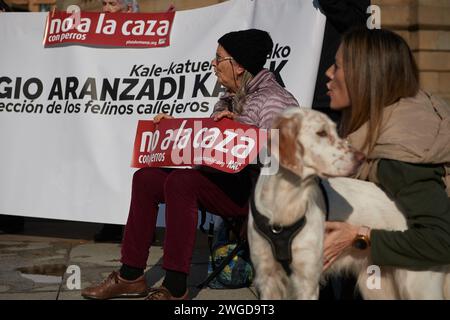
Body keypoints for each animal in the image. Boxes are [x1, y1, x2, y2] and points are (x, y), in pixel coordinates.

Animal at [248, 107, 448, 300]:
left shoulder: (307, 281)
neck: (286, 203)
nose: (361, 158)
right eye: (321, 133)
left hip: (417, 286)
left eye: (335, 131)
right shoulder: (267, 277)